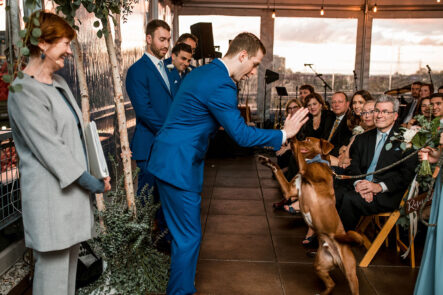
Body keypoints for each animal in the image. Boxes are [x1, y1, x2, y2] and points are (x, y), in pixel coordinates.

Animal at [260, 138, 364, 295]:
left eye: (308, 139)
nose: (291, 140)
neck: (317, 161)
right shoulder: (289, 191)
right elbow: (278, 169)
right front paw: (268, 161)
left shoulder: (304, 169)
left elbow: (298, 154)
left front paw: (293, 139)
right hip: (320, 266)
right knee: (331, 284)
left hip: (350, 274)